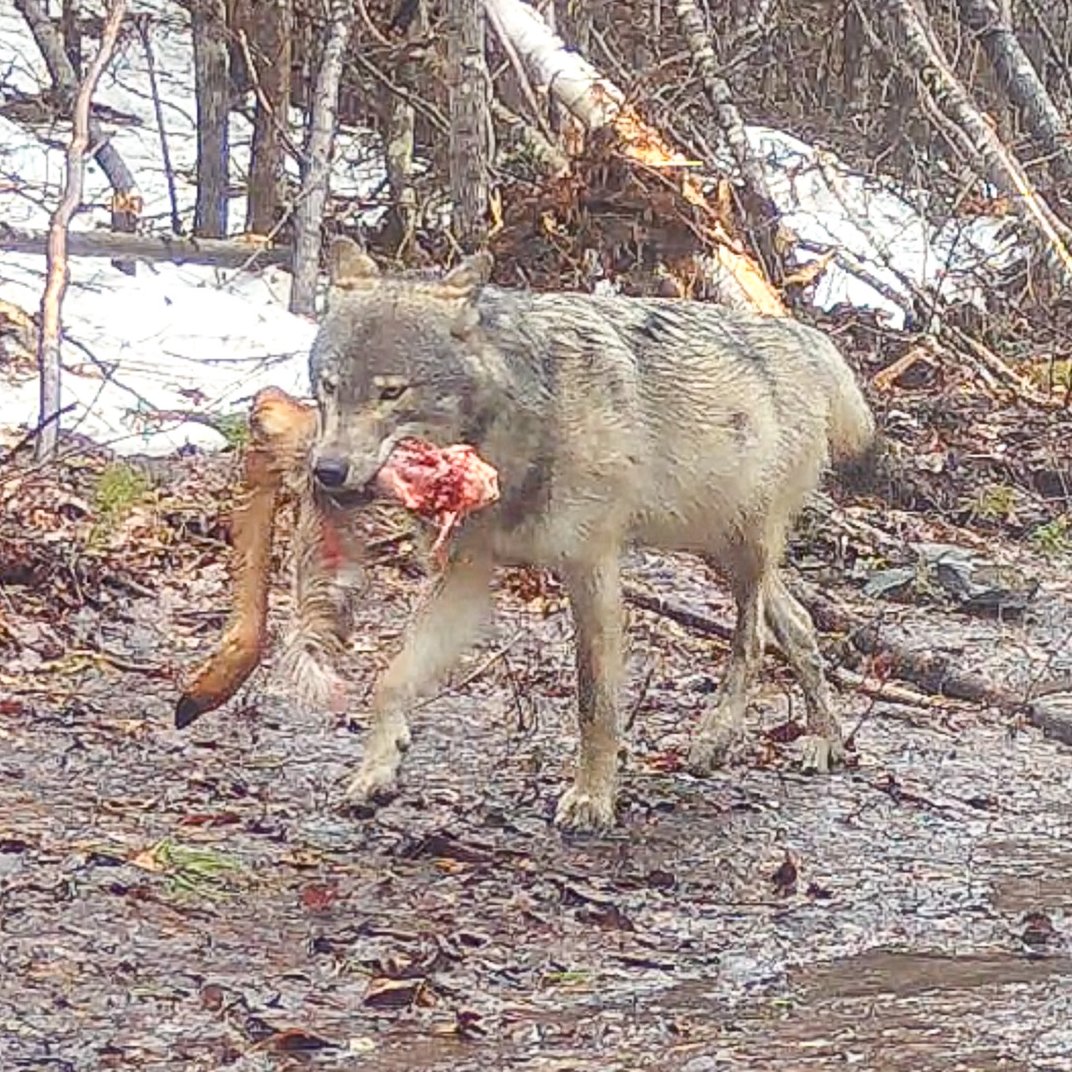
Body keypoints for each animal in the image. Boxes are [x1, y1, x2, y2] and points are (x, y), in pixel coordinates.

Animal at [309, 236, 875, 832]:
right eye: (328, 387)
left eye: (391, 393)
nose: (326, 471)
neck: (514, 434)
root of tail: (805, 338)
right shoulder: (464, 574)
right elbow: (390, 680)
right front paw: (376, 771)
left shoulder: (591, 567)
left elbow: (595, 701)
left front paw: (591, 798)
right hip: (711, 546)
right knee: (798, 622)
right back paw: (824, 739)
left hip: (741, 549)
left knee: (755, 636)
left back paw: (717, 734)